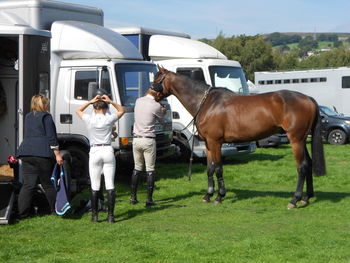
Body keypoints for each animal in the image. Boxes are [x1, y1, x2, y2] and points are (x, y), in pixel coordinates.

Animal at [153, 66, 326, 210]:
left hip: (296, 140)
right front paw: (208, 195)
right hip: (302, 140)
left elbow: (218, 168)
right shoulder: (208, 144)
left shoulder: (215, 142)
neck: (207, 103)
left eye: (156, 79)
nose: (150, 94)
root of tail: (309, 99)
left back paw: (294, 200)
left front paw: (219, 196)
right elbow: (210, 169)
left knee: (302, 167)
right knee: (309, 164)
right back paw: (306, 198)